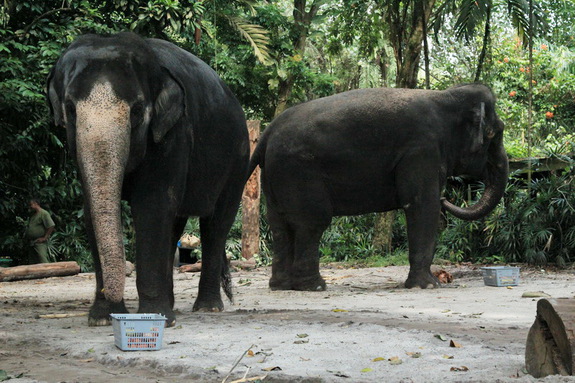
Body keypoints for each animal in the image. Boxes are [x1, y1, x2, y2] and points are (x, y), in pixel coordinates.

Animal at [47, 32, 250, 328]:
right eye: (71, 109)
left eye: (137, 110)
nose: (112, 300)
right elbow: (91, 211)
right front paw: (102, 319)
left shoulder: (173, 134)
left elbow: (152, 207)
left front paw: (157, 319)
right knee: (175, 224)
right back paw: (173, 305)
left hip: (238, 160)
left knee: (216, 223)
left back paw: (208, 307)